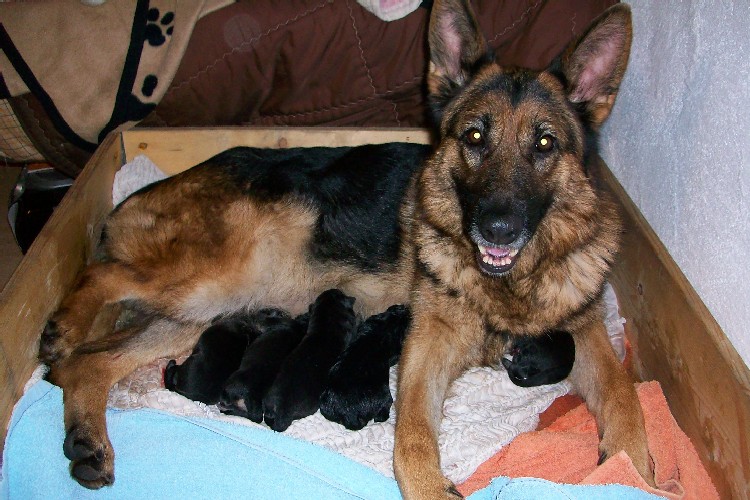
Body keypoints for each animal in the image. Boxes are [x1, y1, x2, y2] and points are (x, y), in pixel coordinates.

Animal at [318, 302, 412, 432]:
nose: (407, 307)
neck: (388, 323)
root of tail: (349, 415)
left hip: (324, 405)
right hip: (385, 395)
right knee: (383, 412)